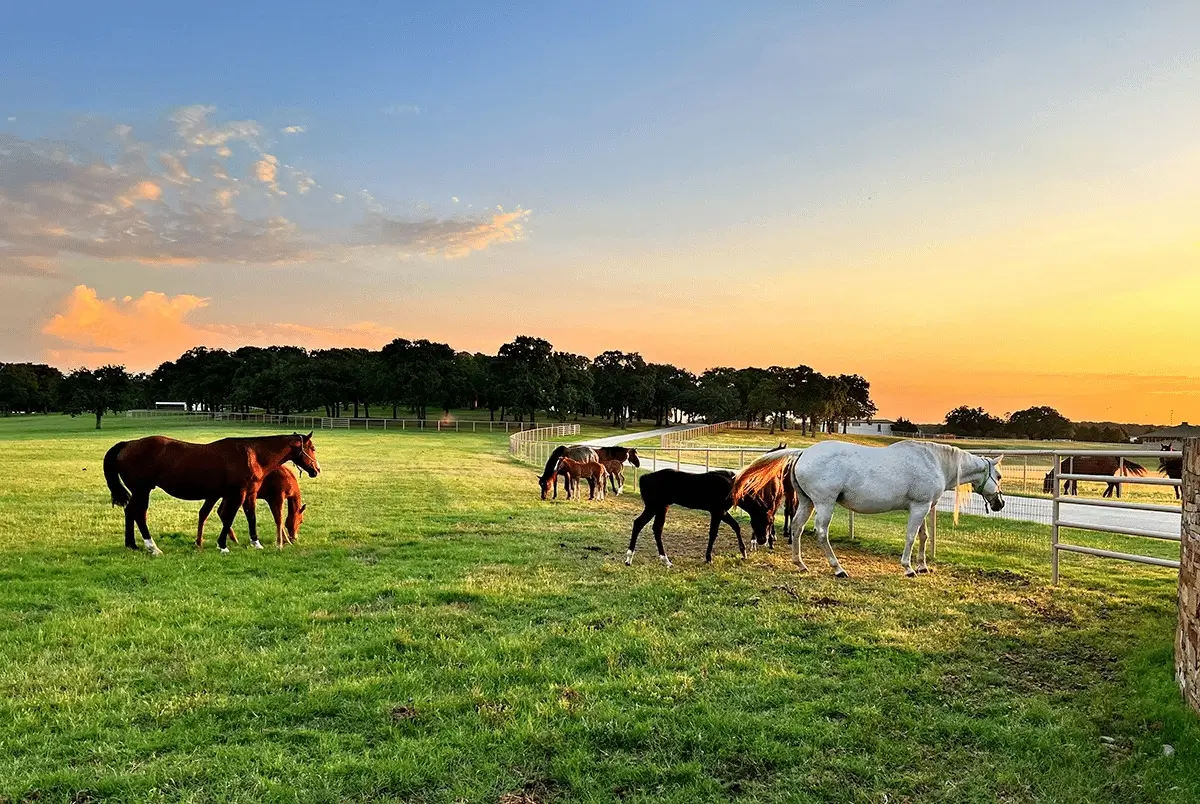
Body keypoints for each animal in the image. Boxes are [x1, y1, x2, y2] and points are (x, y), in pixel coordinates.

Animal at [103, 432, 320, 555]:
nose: (316, 469)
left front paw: (256, 543)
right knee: (139, 513)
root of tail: (128, 444)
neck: (252, 455)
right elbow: (229, 517)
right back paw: (152, 547)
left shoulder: (249, 494)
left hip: (139, 491)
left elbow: (251, 517)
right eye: (313, 448)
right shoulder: (237, 494)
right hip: (142, 490)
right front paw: (222, 545)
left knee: (130, 512)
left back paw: (132, 544)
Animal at [625, 469, 773, 567]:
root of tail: (644, 477)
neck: (731, 485)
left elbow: (736, 526)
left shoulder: (722, 512)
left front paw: (743, 552)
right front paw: (708, 558)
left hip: (659, 507)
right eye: (765, 521)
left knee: (647, 526)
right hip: (655, 507)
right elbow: (713, 533)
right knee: (647, 526)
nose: (762, 540)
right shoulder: (717, 511)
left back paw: (636, 559)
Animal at [732, 440, 1004, 578]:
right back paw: (838, 569)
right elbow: (910, 537)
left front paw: (923, 566)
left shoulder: (924, 507)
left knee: (797, 528)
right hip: (824, 504)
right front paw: (908, 568)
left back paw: (800, 564)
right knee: (821, 533)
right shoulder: (919, 508)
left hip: (806, 502)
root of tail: (803, 452)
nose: (1000, 503)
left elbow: (923, 536)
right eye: (999, 476)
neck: (934, 461)